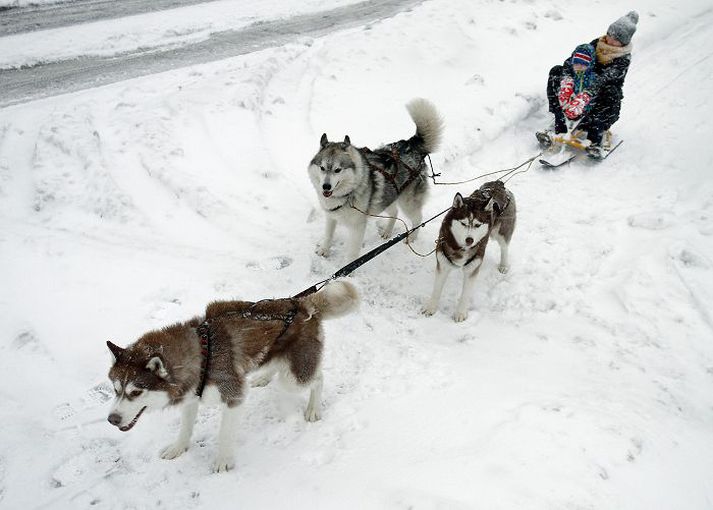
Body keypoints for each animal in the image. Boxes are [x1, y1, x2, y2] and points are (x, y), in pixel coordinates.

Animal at [106, 280, 358, 472]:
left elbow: (225, 434)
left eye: (136, 392)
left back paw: (313, 408)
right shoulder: (191, 395)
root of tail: (303, 303)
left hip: (294, 380)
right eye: (116, 390)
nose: (112, 419)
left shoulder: (233, 396)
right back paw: (263, 377)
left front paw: (223, 461)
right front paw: (178, 448)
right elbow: (185, 428)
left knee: (318, 378)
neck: (203, 352)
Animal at [308, 97, 442, 260]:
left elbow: (352, 252)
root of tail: (411, 145)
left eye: (337, 170)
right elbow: (328, 234)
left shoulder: (357, 226)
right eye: (322, 168)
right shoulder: (331, 216)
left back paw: (412, 237)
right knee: (395, 212)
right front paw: (324, 249)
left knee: (418, 219)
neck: (347, 194)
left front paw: (349, 266)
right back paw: (387, 231)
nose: (325, 186)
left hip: (407, 203)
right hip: (388, 196)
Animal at [420, 181, 516, 320]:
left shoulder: (472, 268)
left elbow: (465, 294)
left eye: (477, 225)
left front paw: (460, 312)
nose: (469, 240)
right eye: (463, 223)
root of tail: (498, 184)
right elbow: (437, 289)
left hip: (503, 232)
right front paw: (431, 307)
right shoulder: (443, 263)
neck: (461, 249)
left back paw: (503, 265)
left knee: (504, 247)